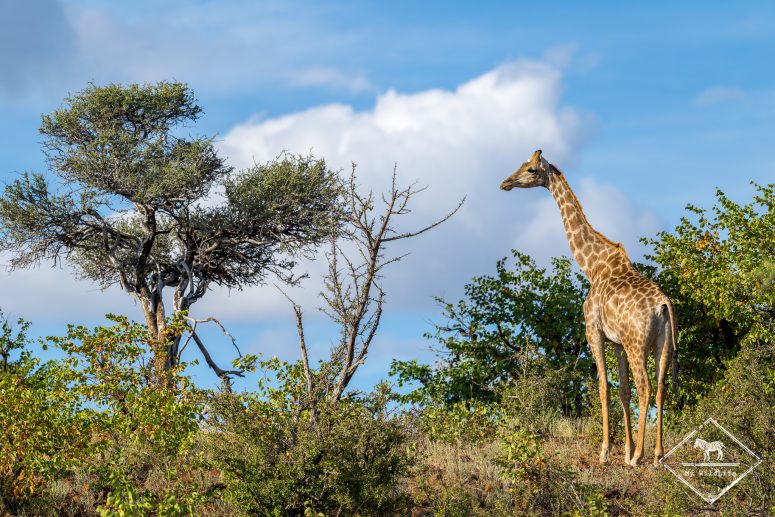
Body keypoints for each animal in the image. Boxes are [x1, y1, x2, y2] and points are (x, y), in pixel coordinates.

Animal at [499, 150, 678, 466]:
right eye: (521, 164)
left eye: (531, 169)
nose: (505, 183)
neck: (592, 266)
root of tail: (663, 305)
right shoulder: (617, 342)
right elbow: (622, 390)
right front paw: (625, 450)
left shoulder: (593, 332)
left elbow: (603, 387)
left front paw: (607, 452)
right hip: (662, 344)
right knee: (659, 388)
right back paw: (657, 455)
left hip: (637, 343)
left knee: (645, 386)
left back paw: (640, 457)